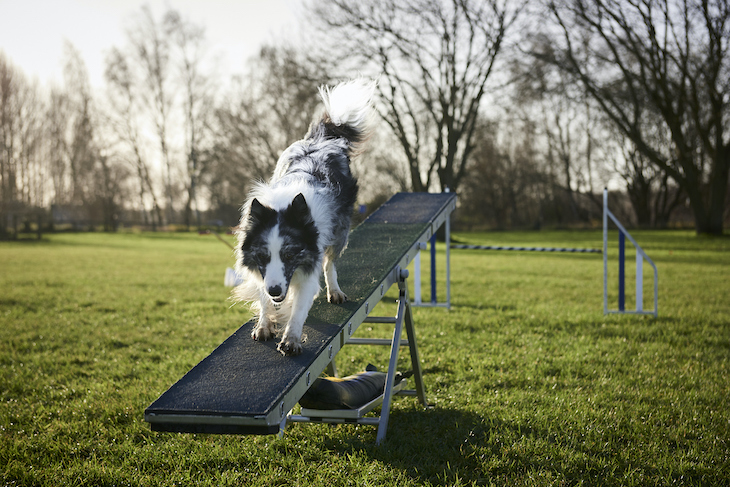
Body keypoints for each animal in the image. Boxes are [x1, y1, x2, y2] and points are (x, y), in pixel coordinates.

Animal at [235, 78, 376, 356]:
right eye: (263, 256)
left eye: (290, 255)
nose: (275, 290)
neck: (284, 206)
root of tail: (322, 139)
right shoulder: (261, 272)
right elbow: (263, 298)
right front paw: (265, 324)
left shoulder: (310, 263)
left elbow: (299, 306)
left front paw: (291, 338)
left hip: (340, 232)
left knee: (330, 263)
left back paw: (335, 291)